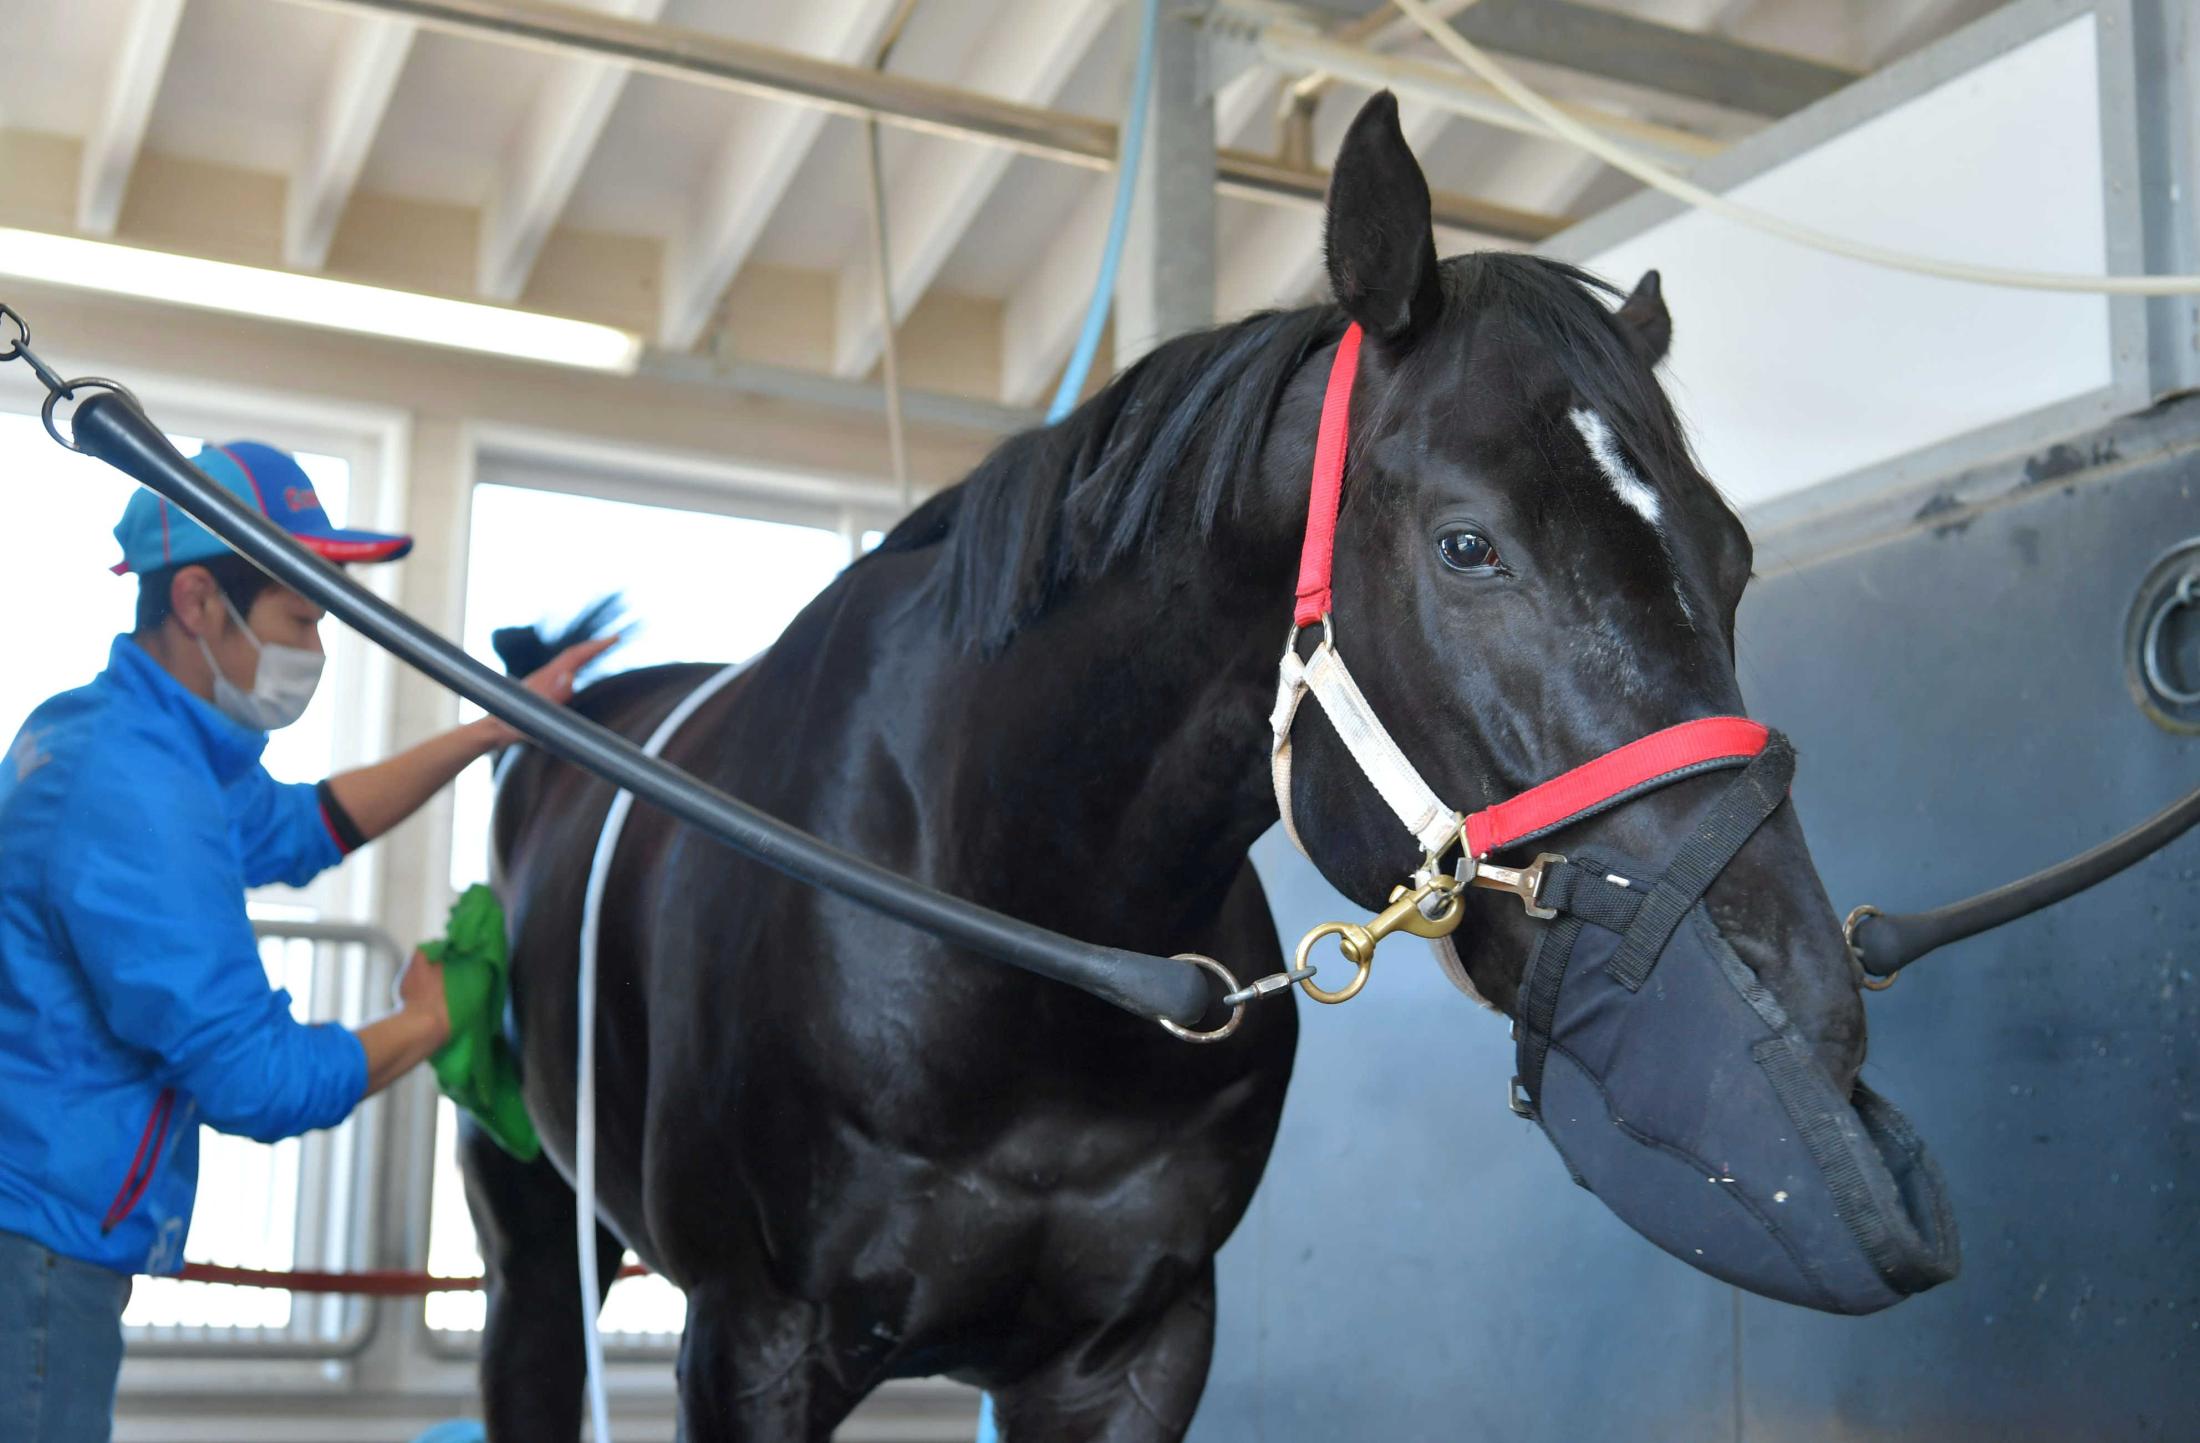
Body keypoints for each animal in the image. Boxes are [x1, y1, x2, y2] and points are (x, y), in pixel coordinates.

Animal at [464, 95, 1856, 1434]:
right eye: (1468, 547)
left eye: (1733, 555)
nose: (1799, 1000)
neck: (1019, 921)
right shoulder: (755, 1346)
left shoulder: (1132, 1355)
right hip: (531, 1252)